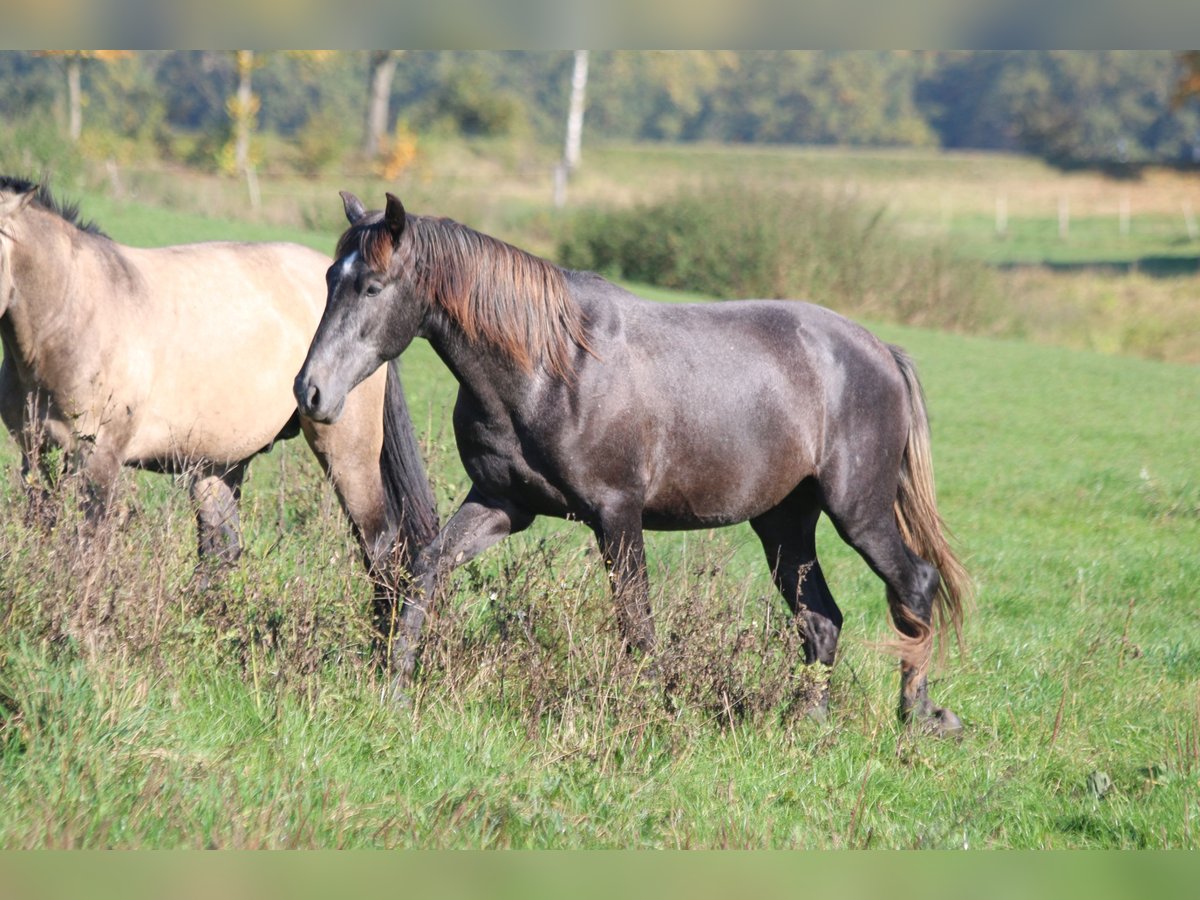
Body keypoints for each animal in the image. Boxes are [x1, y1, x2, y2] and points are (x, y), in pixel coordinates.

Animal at [295, 194, 969, 734]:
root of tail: (878, 350)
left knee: (914, 584)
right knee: (821, 620)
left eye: (373, 286)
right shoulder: (502, 504)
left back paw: (918, 718)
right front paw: (395, 687)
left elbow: (636, 623)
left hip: (858, 511)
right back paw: (808, 722)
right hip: (783, 523)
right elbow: (424, 568)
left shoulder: (617, 515)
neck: (550, 366)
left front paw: (650, 712)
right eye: (329, 278)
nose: (310, 391)